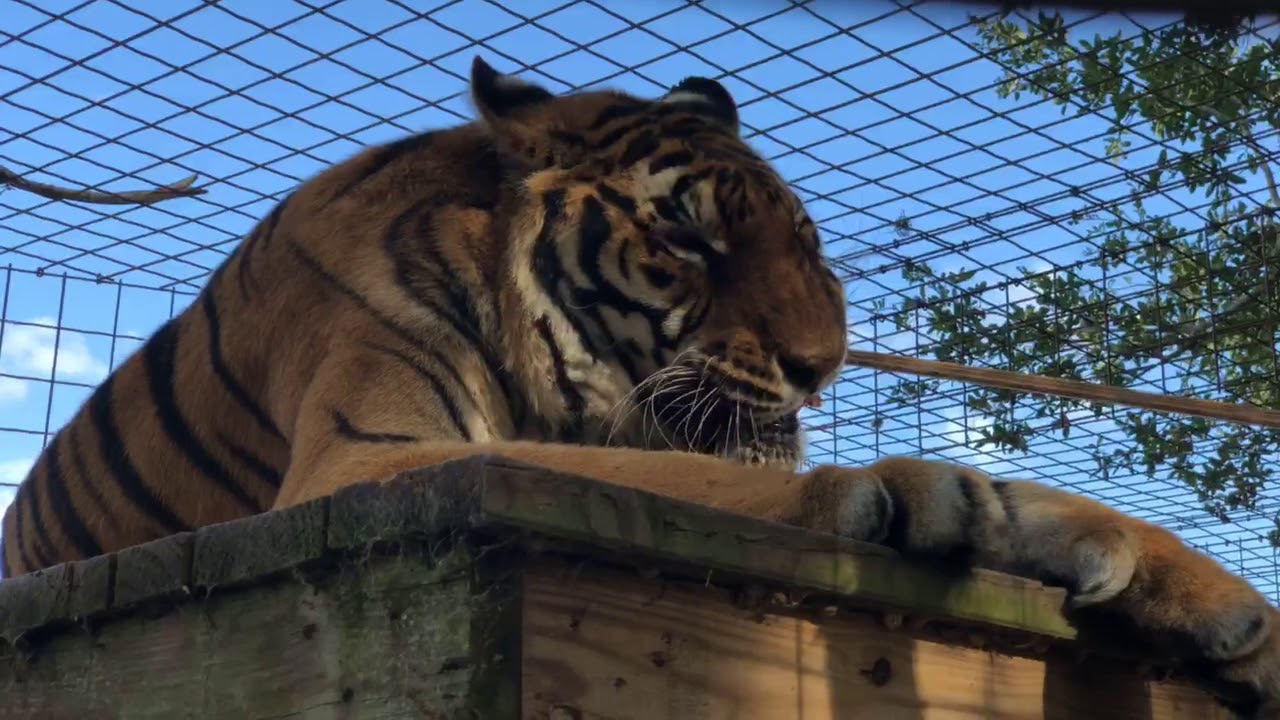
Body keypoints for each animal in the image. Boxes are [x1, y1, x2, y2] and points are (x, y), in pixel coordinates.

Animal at [1, 55, 1278, 717]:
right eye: (690, 242)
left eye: (806, 244)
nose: (821, 367)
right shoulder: (367, 455)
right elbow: (691, 481)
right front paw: (926, 500)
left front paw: (1221, 609)